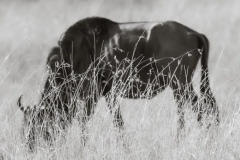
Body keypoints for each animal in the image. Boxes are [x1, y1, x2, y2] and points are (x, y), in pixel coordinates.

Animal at [17, 16, 218, 151]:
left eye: (36, 124)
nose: (28, 147)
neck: (71, 55)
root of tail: (193, 33)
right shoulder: (108, 94)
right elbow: (117, 122)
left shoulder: (92, 94)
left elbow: (85, 121)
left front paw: (83, 147)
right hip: (181, 86)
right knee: (204, 109)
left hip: (180, 84)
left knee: (201, 110)